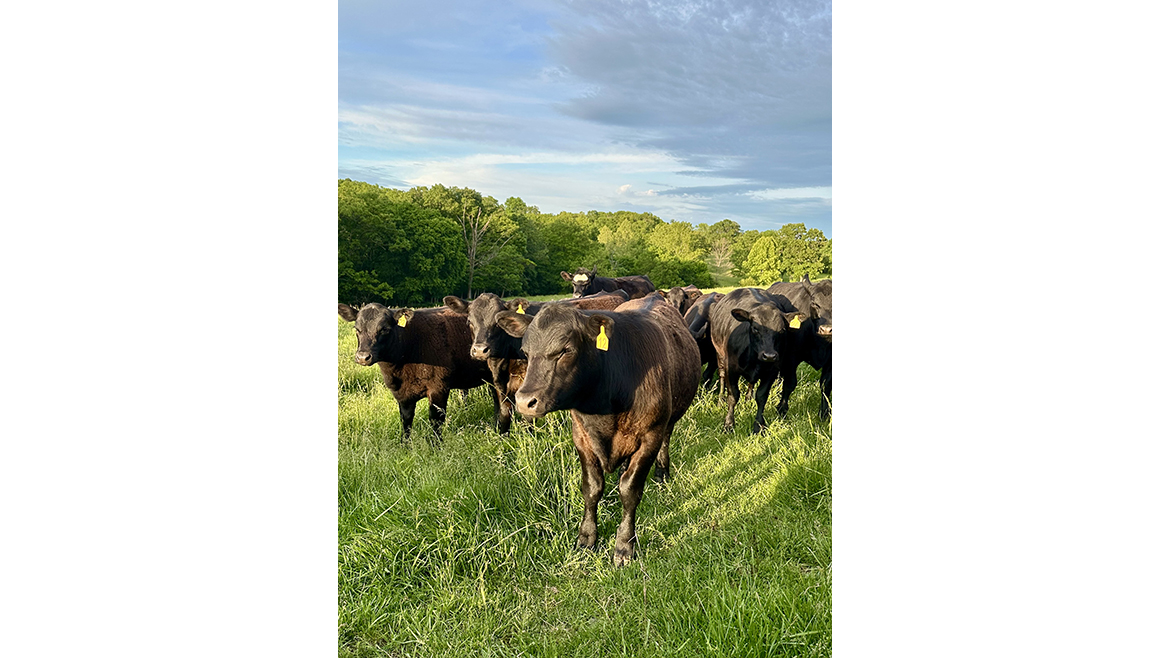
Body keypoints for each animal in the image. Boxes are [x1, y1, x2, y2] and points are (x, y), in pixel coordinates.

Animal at [337, 303, 495, 441]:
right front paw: (405, 446)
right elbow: (406, 421)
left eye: (384, 329)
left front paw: (436, 447)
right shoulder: (402, 395)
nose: (363, 357)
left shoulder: (439, 388)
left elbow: (436, 421)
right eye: (357, 329)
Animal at [494, 294, 701, 566]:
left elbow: (630, 490)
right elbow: (591, 488)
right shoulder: (582, 438)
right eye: (526, 352)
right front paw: (587, 539)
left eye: (565, 350)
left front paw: (624, 545)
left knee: (666, 441)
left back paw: (662, 473)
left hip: (669, 420)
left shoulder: (650, 436)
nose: (524, 400)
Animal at [706, 288, 803, 433]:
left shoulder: (772, 370)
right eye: (755, 329)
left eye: (782, 330)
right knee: (721, 377)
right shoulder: (731, 369)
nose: (769, 355)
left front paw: (759, 425)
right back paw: (720, 401)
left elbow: (762, 396)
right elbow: (733, 396)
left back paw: (748, 400)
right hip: (720, 356)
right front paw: (728, 424)